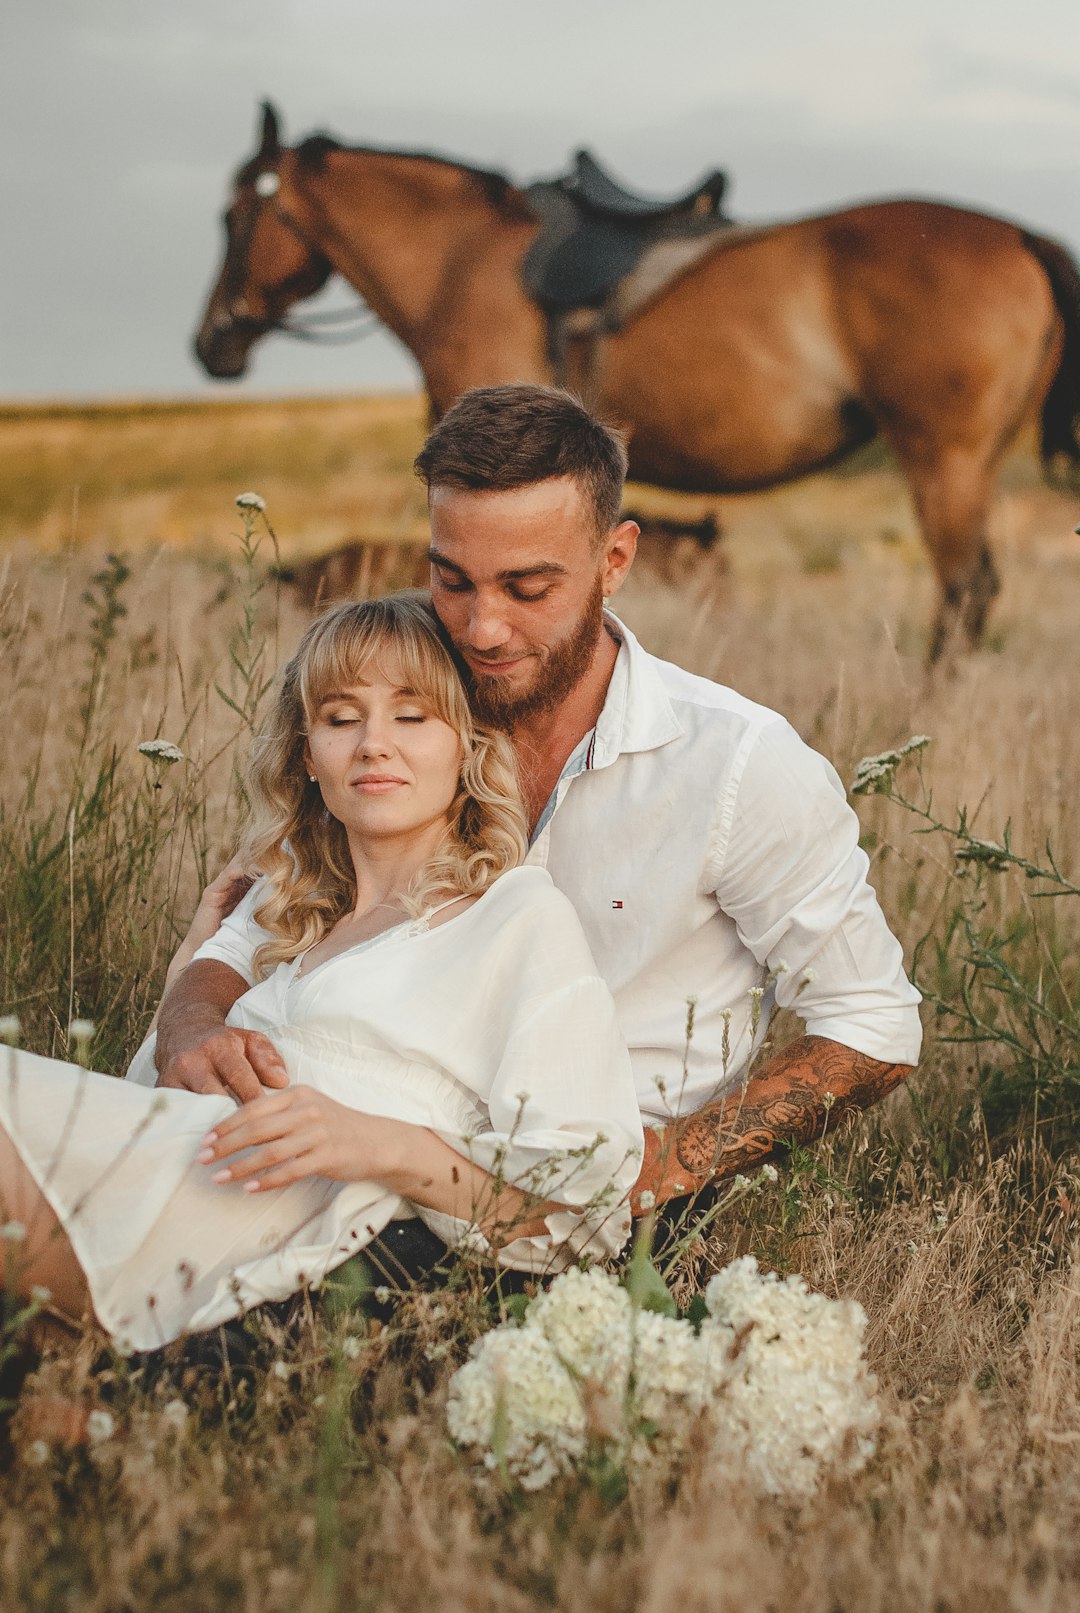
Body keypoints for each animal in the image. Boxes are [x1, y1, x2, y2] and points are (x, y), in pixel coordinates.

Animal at [195, 104, 1080, 658]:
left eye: (235, 215)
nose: (211, 344)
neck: (460, 260)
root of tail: (1018, 235)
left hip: (943, 460)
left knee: (964, 594)